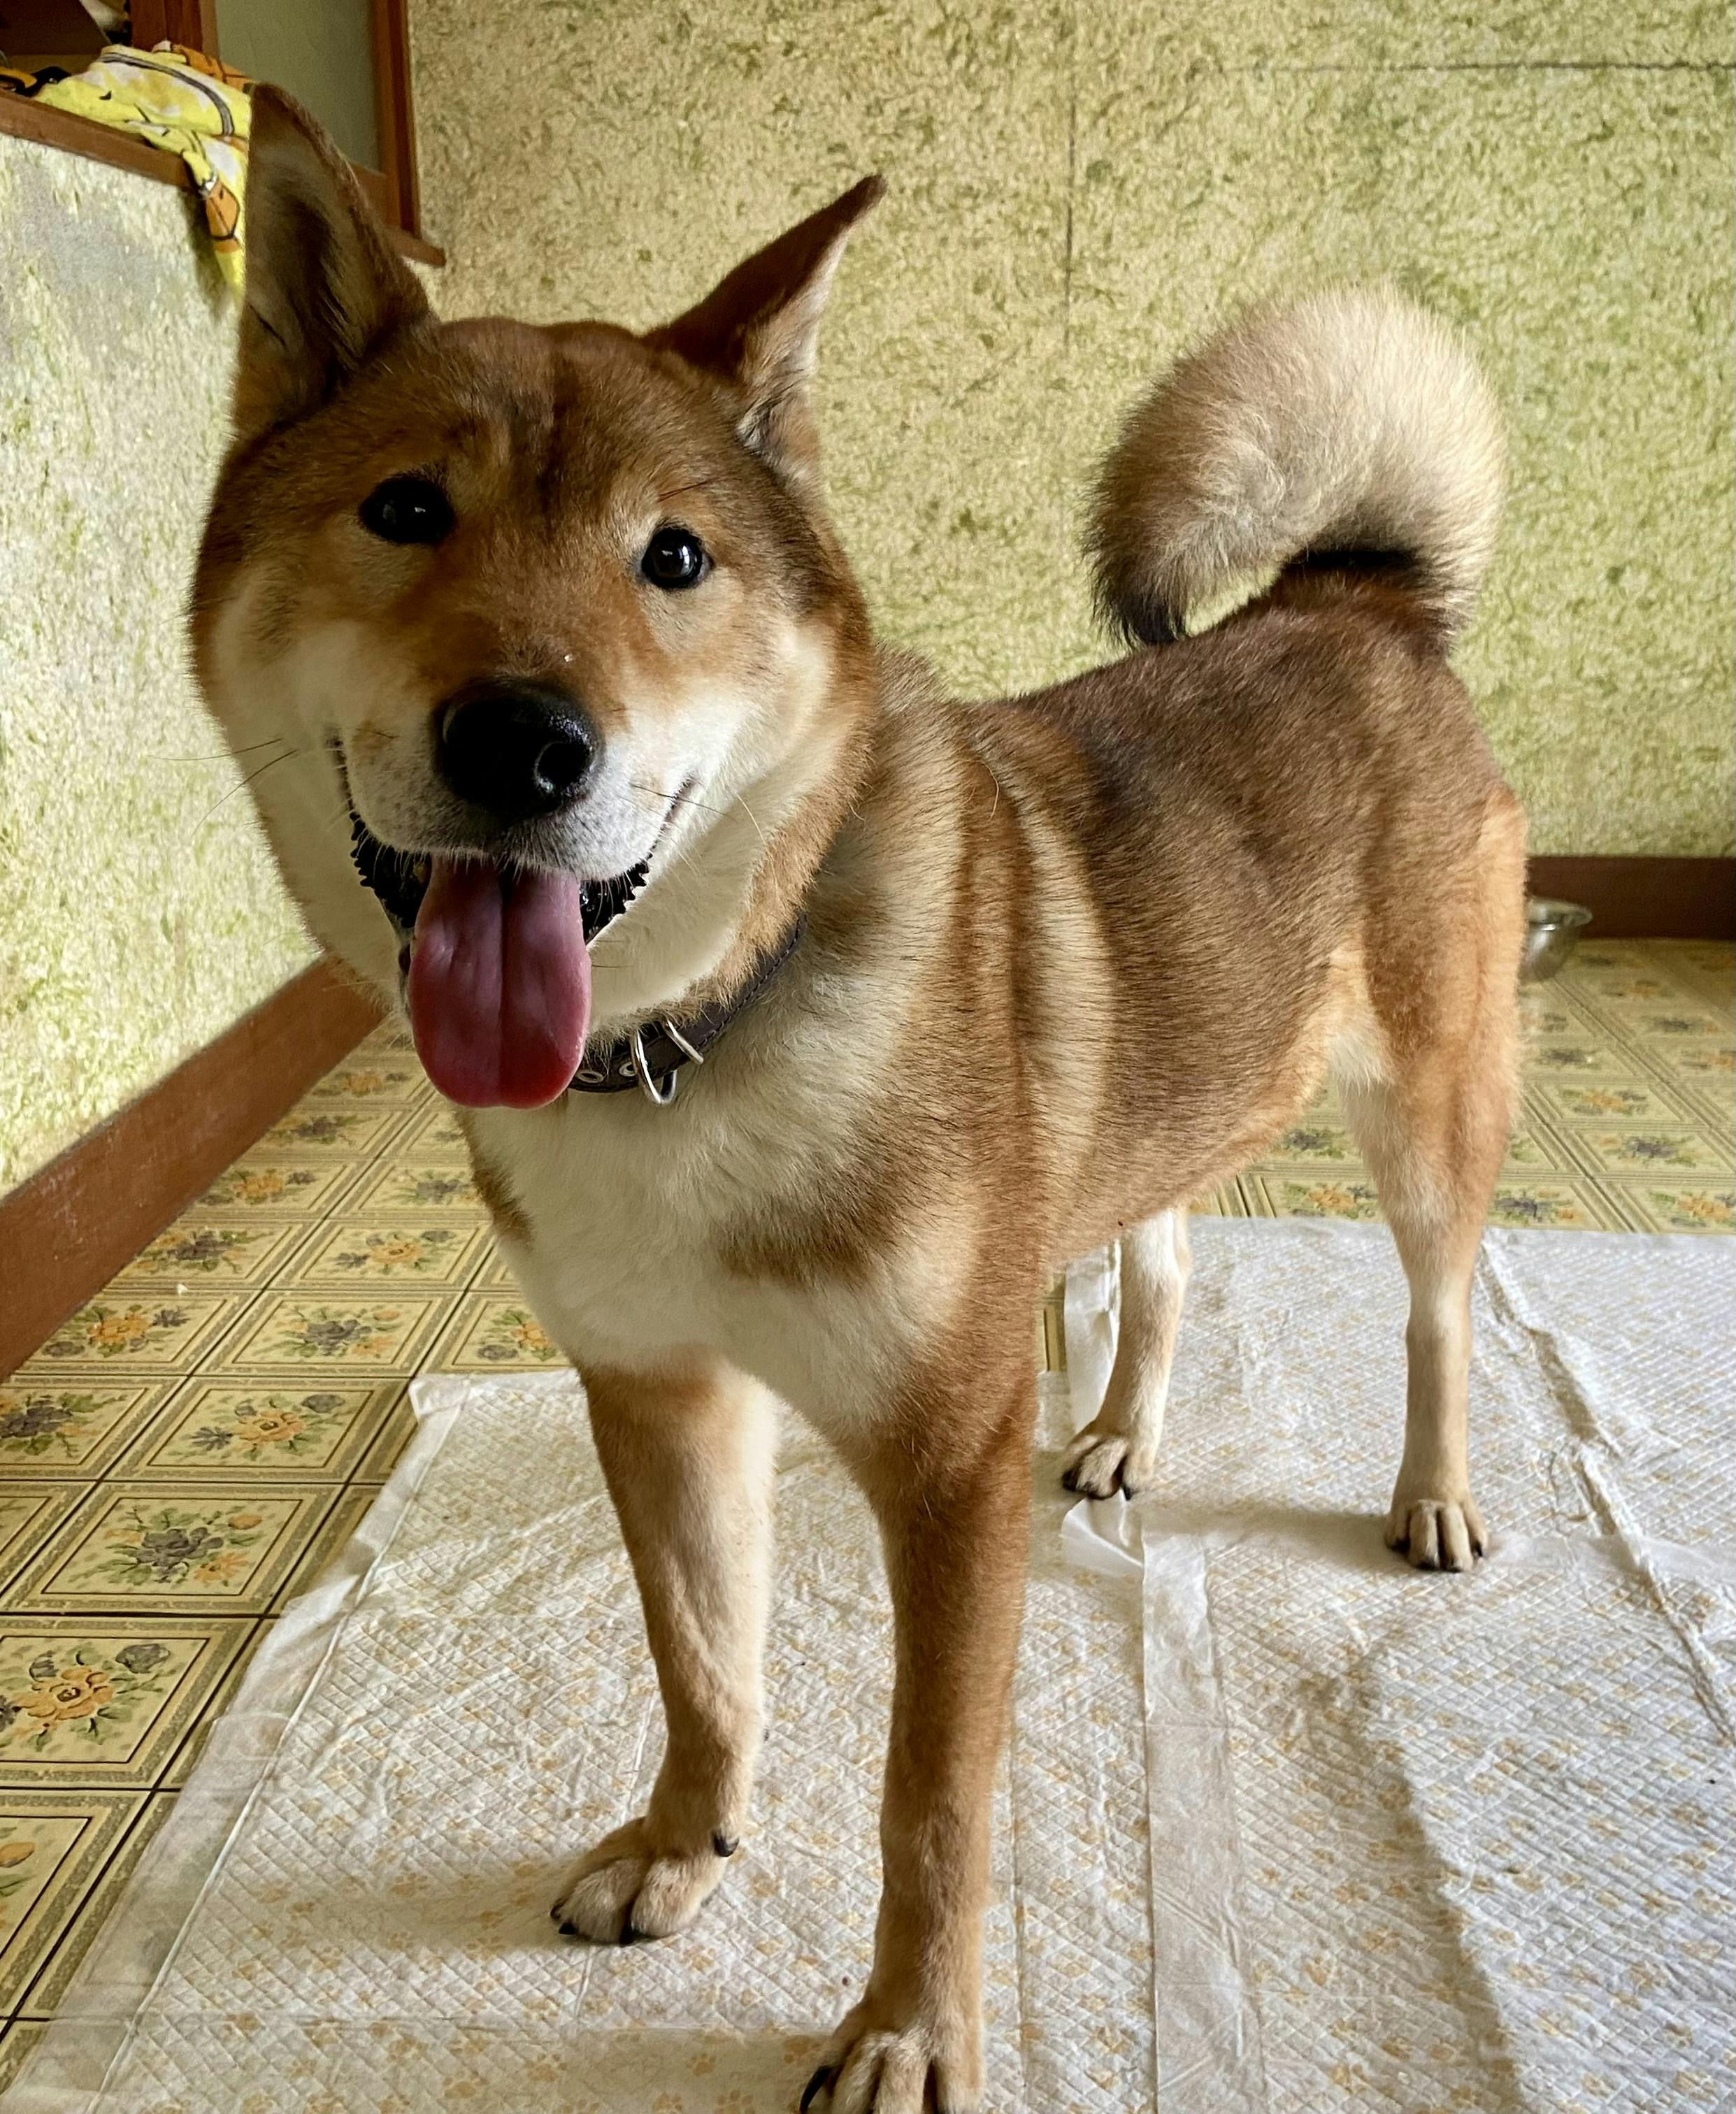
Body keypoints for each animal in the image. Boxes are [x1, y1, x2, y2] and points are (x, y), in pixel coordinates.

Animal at [192, 85, 1524, 2113]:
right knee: (1164, 1263)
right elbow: (702, 1668)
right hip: (1167, 1093)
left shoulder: (944, 1459)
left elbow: (931, 1800)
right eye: (405, 509)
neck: (686, 1048)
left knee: (1435, 1313)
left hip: (1425, 1109)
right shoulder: (660, 1393)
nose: (523, 742)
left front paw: (906, 2033)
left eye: (674, 560)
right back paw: (1122, 1432)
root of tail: (1351, 603)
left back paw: (1428, 1497)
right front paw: (680, 1848)